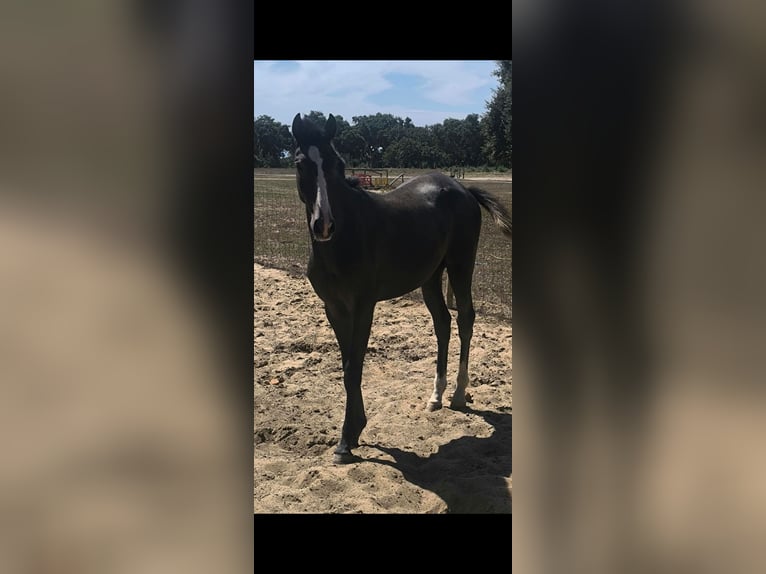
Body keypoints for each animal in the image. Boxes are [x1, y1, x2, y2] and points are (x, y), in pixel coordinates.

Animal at [291, 113, 512, 464]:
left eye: (338, 164)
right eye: (301, 164)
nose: (324, 225)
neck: (342, 241)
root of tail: (462, 188)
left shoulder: (363, 306)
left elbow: (354, 367)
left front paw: (345, 441)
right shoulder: (334, 308)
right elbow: (347, 365)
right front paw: (354, 431)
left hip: (461, 267)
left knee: (465, 319)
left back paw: (458, 394)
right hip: (431, 277)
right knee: (442, 323)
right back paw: (436, 395)